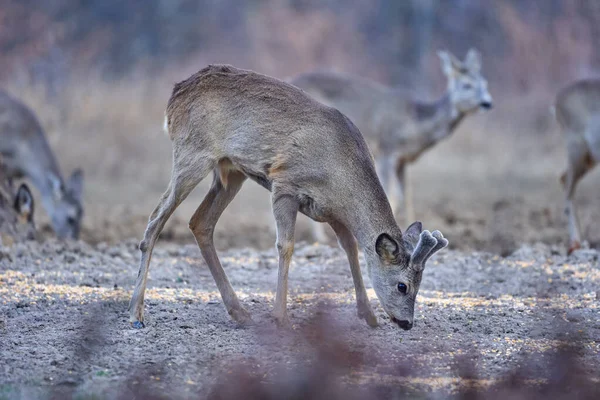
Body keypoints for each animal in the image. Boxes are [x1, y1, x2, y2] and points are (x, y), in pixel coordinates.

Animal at [127, 63, 446, 332]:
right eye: (403, 286)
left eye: (421, 283)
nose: (407, 323)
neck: (340, 174)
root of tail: (176, 94)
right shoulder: (285, 184)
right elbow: (286, 246)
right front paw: (281, 317)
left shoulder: (330, 210)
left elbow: (350, 248)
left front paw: (368, 315)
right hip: (192, 154)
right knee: (155, 220)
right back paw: (136, 314)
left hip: (230, 172)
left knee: (200, 222)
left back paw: (239, 312)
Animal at [290, 48, 492, 242]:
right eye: (467, 85)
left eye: (484, 83)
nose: (487, 103)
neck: (414, 123)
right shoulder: (387, 148)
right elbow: (391, 194)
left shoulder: (402, 160)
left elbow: (406, 196)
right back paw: (317, 237)